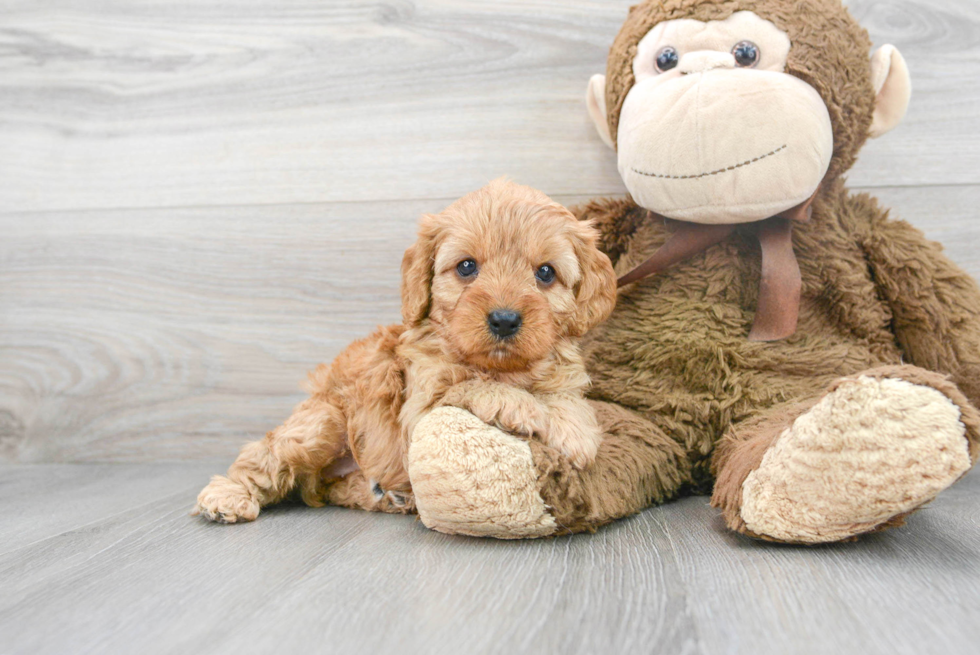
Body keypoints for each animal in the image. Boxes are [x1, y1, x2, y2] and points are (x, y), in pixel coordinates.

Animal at [195, 179, 616, 524]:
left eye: (545, 273)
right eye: (466, 267)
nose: (504, 319)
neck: (501, 366)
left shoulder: (561, 373)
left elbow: (567, 399)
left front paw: (574, 430)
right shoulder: (420, 409)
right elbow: (470, 386)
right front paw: (521, 406)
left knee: (332, 489)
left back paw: (388, 495)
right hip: (321, 424)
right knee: (263, 456)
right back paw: (228, 496)